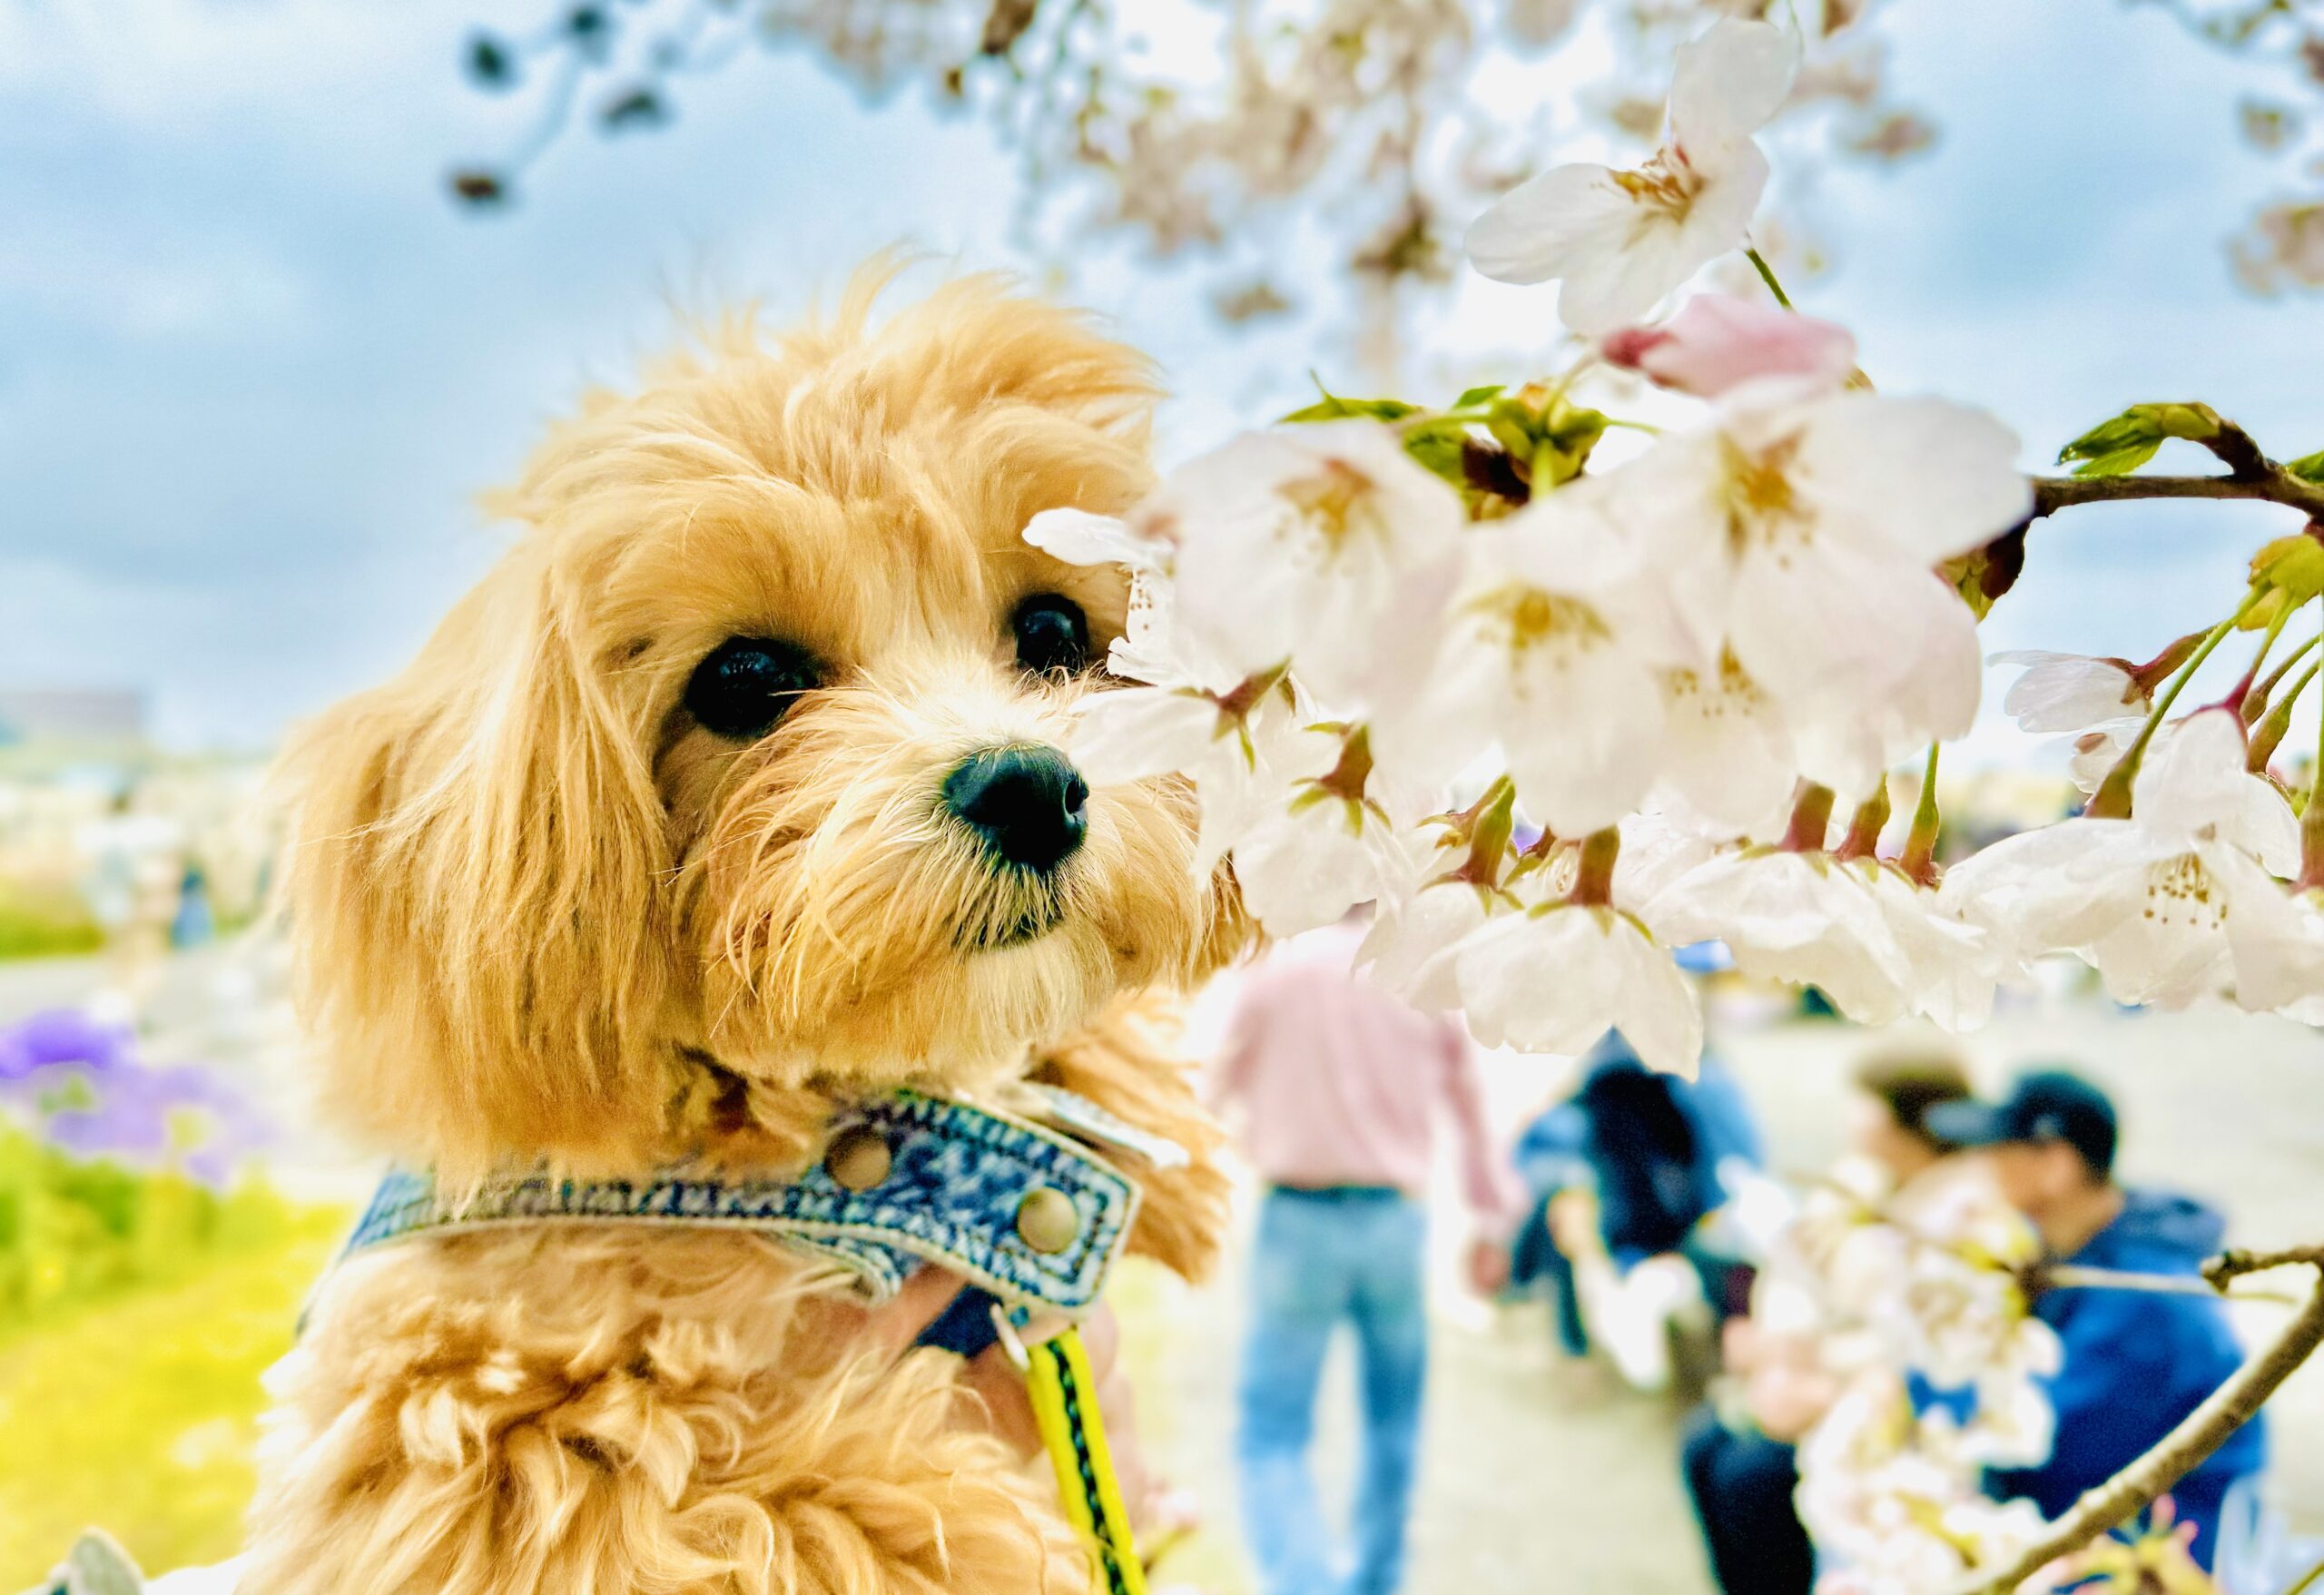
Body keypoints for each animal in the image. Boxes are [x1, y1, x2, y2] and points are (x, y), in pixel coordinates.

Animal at [242, 274, 1246, 1595]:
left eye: (1051, 634)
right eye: (744, 676)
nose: (1034, 788)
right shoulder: (452, 1408)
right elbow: (770, 1501)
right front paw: (981, 1530)